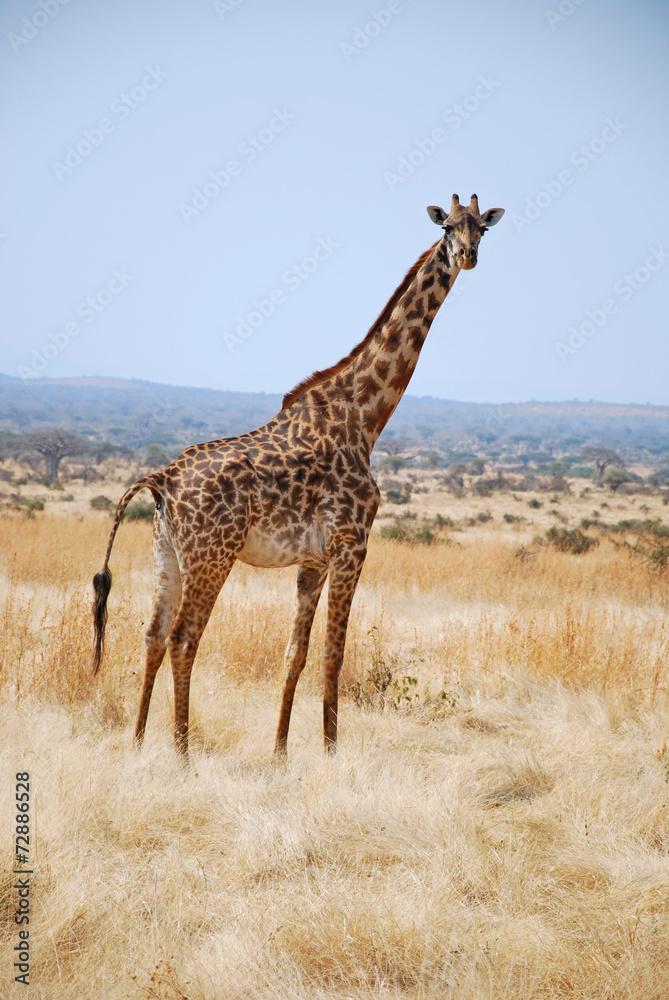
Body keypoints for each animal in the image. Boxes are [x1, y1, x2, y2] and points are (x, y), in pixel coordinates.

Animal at [92, 194, 504, 759]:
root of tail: (163, 480)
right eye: (447, 228)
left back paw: (136, 743)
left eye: (482, 229)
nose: (468, 256)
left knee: (152, 635)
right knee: (183, 638)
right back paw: (181, 753)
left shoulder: (313, 559)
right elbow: (334, 653)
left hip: (167, 554)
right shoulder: (353, 543)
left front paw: (282, 752)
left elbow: (296, 654)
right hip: (211, 555)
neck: (364, 417)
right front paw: (331, 753)